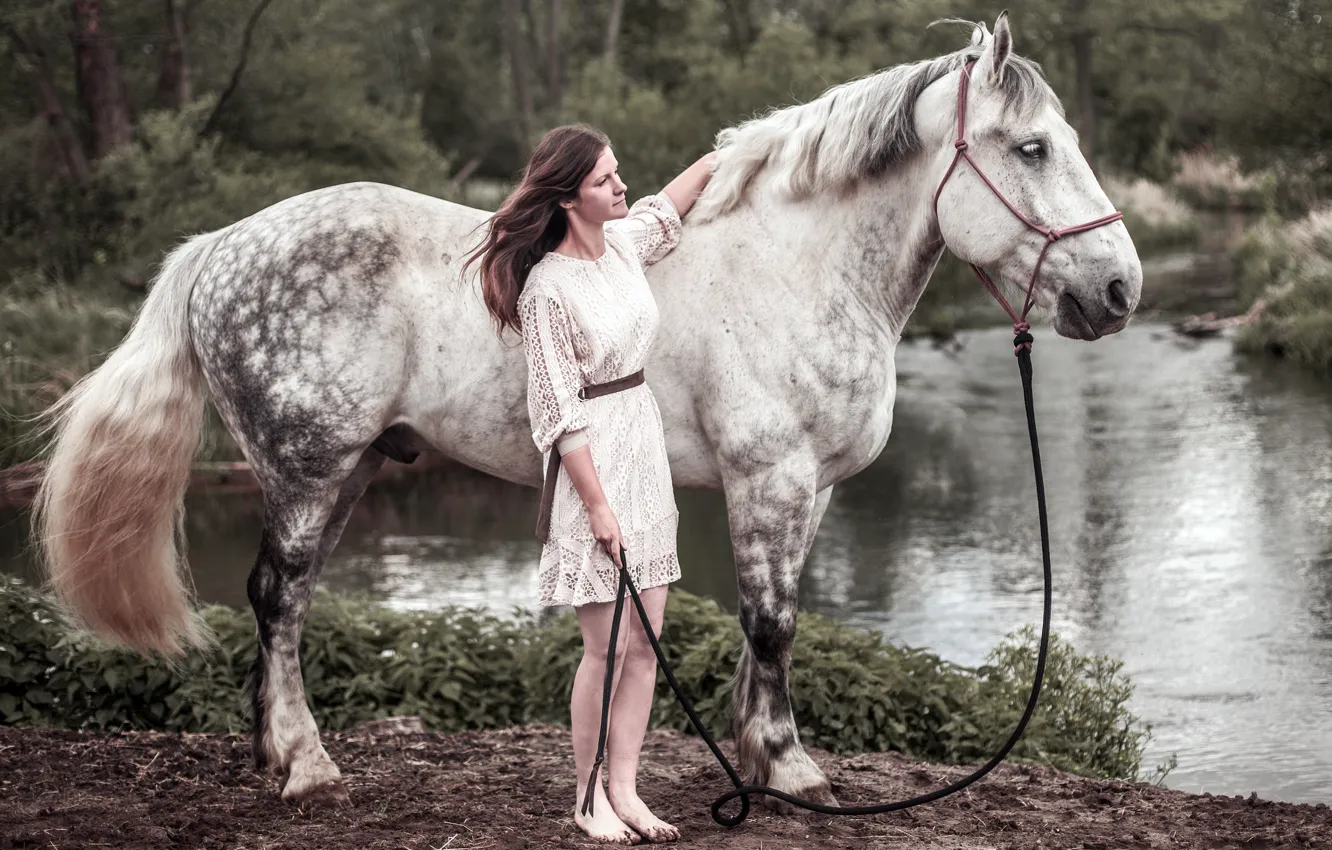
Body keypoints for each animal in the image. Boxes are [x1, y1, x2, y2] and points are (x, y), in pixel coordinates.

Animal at [34, 13, 1141, 809]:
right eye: (1031, 148)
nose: (1120, 289)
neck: (796, 266)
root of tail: (219, 246)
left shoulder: (809, 491)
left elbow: (774, 621)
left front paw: (756, 753)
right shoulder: (770, 478)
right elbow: (772, 620)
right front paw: (790, 768)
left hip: (347, 469)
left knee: (287, 600)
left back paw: (276, 755)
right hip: (307, 468)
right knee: (274, 595)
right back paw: (303, 765)